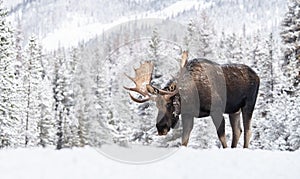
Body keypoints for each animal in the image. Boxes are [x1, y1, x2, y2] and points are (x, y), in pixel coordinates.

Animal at [124, 51, 260, 148]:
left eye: (169, 104)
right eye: (157, 105)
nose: (160, 127)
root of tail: (257, 76)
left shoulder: (216, 111)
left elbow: (222, 138)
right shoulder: (188, 115)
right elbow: (184, 141)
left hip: (248, 104)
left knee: (247, 131)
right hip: (234, 110)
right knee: (238, 131)